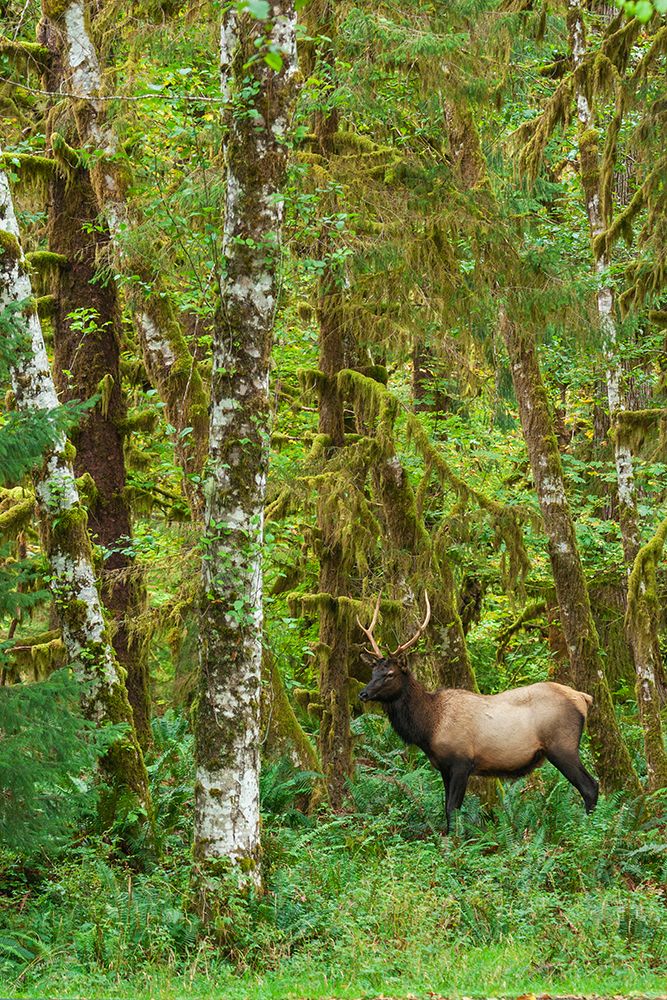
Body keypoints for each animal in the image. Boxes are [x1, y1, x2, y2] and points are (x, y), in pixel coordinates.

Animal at [357, 593, 599, 833]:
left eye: (390, 674)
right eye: (373, 671)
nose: (363, 694)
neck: (429, 727)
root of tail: (583, 697)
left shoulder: (461, 761)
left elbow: (453, 808)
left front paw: (456, 840)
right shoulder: (443, 766)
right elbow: (446, 807)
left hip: (562, 745)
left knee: (590, 786)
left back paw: (588, 831)